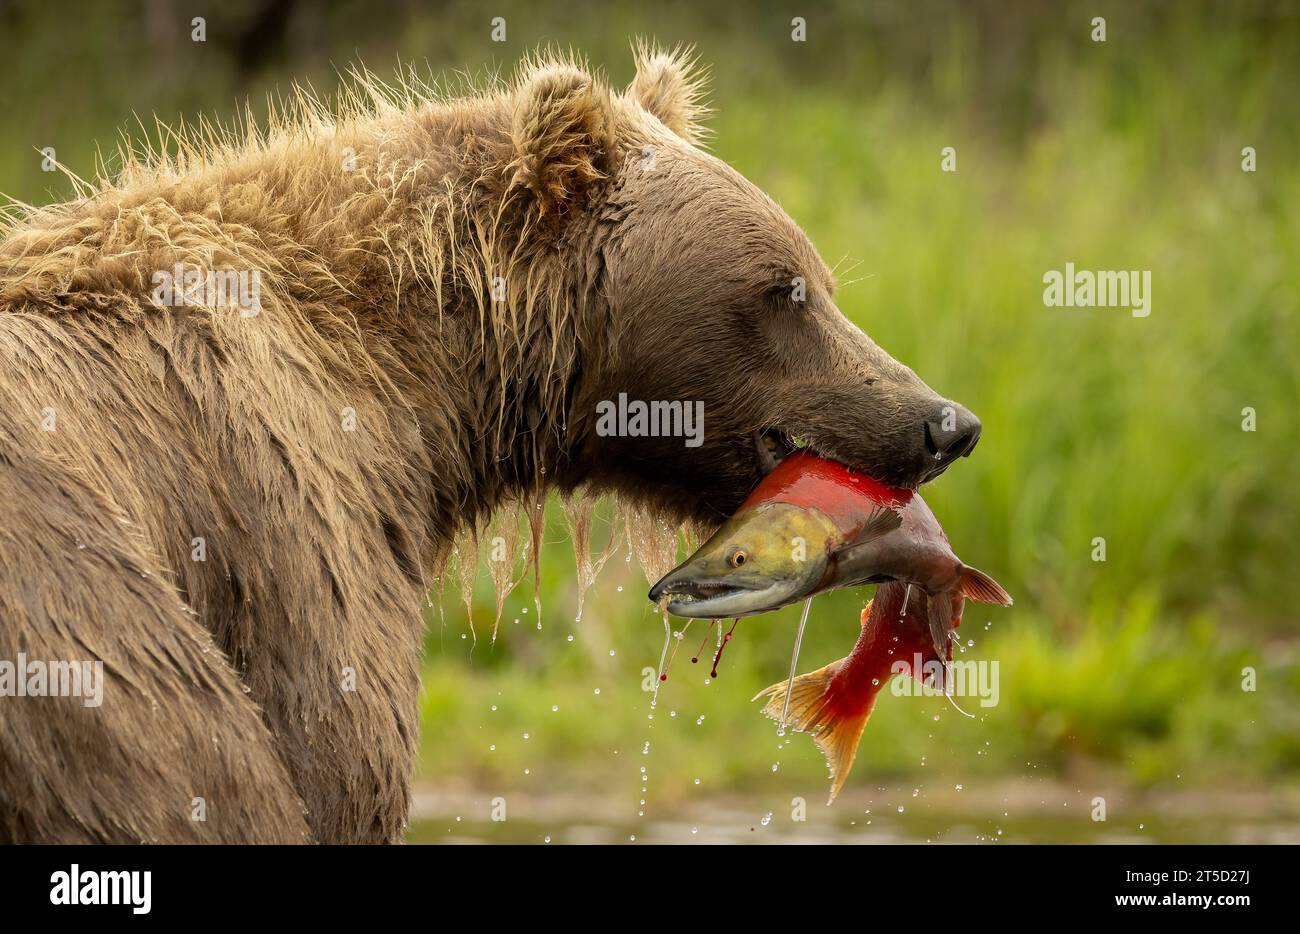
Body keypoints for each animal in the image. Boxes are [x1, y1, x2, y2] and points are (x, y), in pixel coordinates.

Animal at [0, 46, 980, 843]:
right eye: (784, 289)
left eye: (821, 280)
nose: (945, 422)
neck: (423, 392)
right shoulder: (282, 520)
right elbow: (327, 763)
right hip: (87, 627)